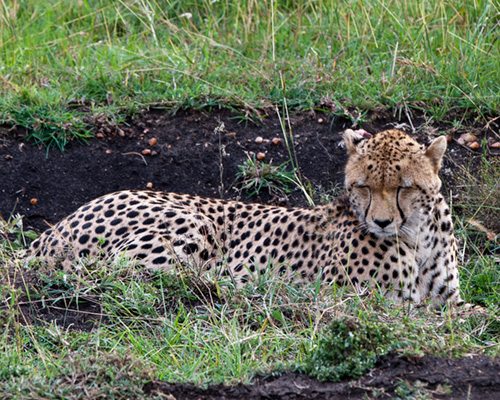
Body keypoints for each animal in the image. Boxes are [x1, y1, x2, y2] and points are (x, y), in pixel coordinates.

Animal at [28, 130, 460, 304]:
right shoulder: (366, 301)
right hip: (191, 224)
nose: (382, 223)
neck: (417, 234)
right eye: (364, 186)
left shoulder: (446, 301)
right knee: (119, 274)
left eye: (403, 186)